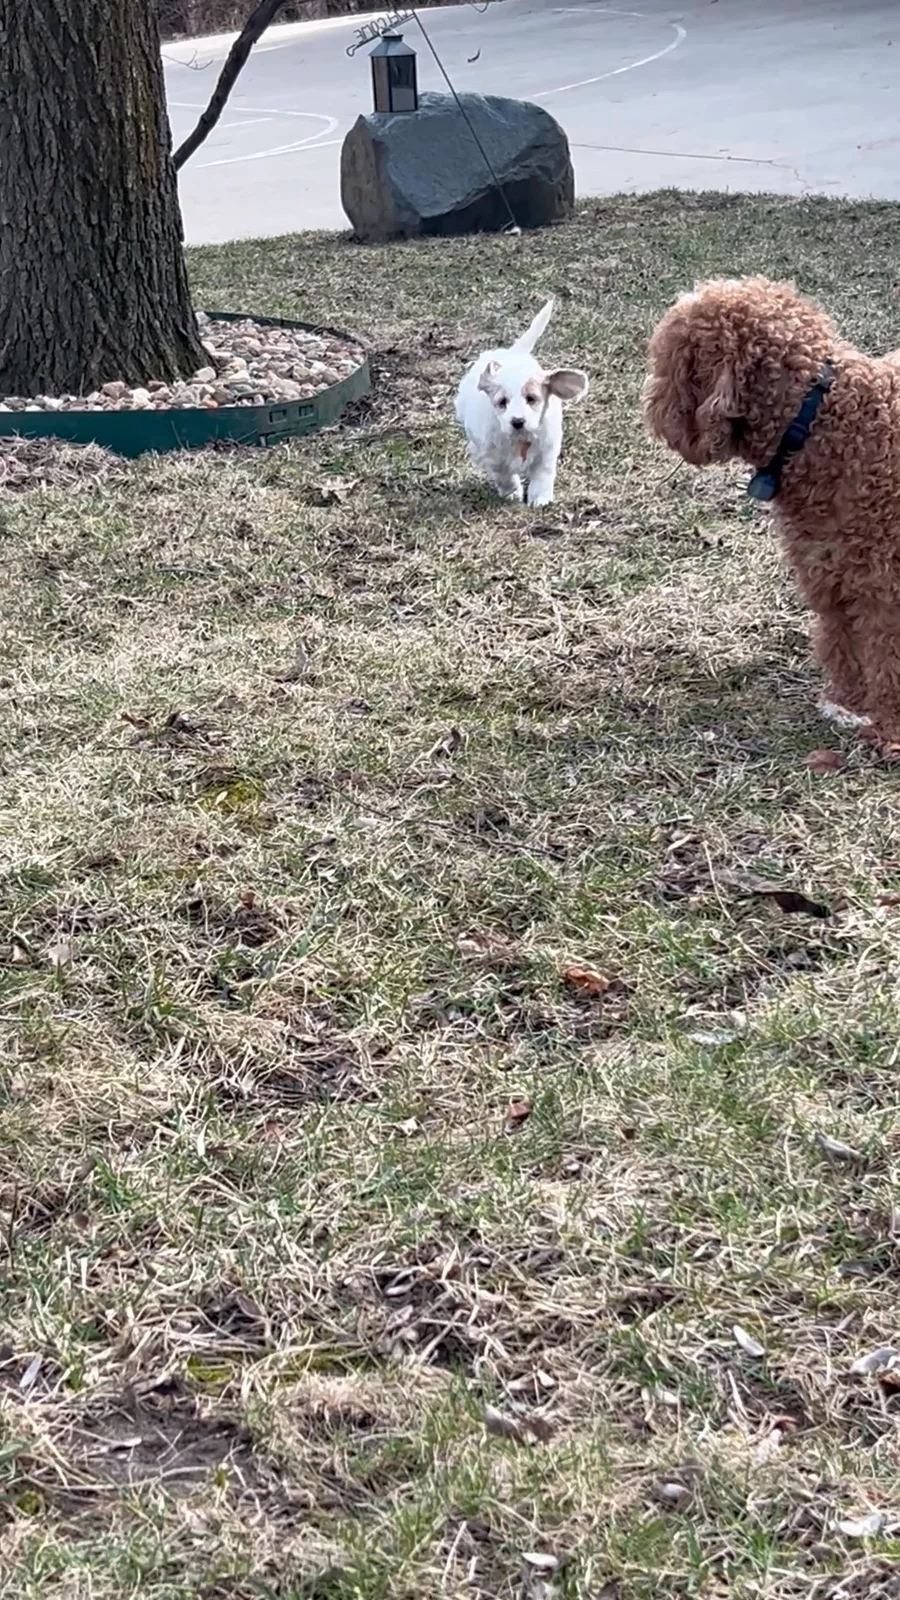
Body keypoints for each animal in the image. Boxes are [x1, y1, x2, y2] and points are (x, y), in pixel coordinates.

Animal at [455, 298, 588, 507]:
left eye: (531, 399)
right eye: (502, 402)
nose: (517, 421)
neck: (521, 439)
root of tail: (512, 353)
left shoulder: (547, 451)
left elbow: (542, 475)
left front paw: (540, 499)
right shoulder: (494, 456)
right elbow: (504, 475)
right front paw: (512, 493)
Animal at [644, 275, 900, 748]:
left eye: (669, 361)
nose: (653, 409)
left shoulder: (885, 589)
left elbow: (889, 661)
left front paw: (890, 730)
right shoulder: (830, 579)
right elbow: (845, 647)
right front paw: (850, 705)